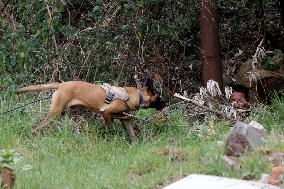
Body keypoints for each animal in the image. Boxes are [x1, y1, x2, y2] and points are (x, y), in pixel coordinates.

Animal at [17, 77, 164, 137]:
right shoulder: (106, 113)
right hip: (55, 111)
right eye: (159, 98)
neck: (134, 96)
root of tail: (61, 85)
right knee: (39, 126)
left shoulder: (125, 119)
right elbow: (110, 129)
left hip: (64, 114)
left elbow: (132, 134)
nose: (166, 103)